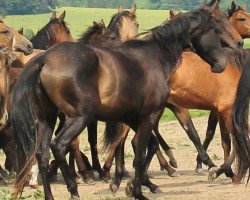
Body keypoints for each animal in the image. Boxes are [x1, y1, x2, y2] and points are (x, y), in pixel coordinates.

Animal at [10, 1, 228, 198]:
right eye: (215, 29)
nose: (222, 64)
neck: (155, 56)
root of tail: (43, 59)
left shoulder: (131, 117)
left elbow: (149, 145)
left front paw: (134, 183)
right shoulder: (148, 115)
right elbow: (139, 152)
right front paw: (137, 190)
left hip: (47, 119)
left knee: (42, 154)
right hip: (79, 117)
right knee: (60, 145)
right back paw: (74, 188)